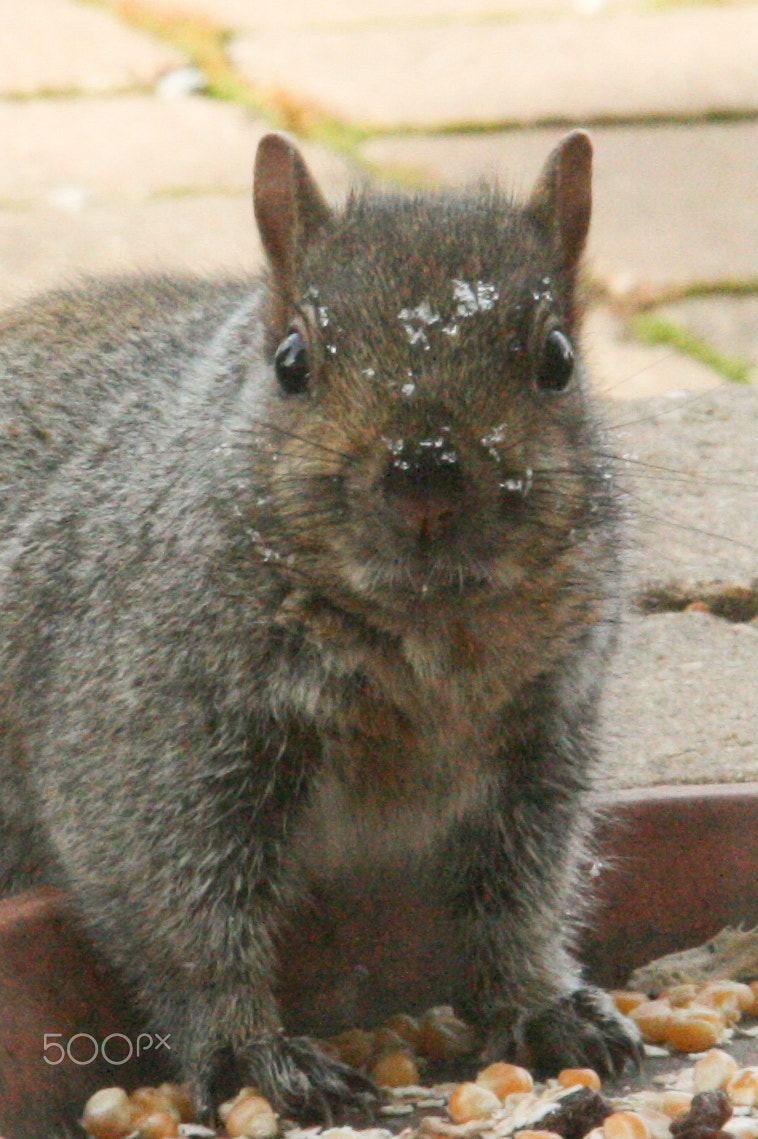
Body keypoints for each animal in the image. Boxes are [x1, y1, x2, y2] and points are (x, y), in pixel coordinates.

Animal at [0, 131, 640, 1120]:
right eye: (292, 362)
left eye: (558, 358)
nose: (425, 473)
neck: (430, 632)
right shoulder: (150, 733)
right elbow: (182, 913)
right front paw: (252, 1051)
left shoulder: (543, 739)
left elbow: (520, 894)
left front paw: (542, 1002)